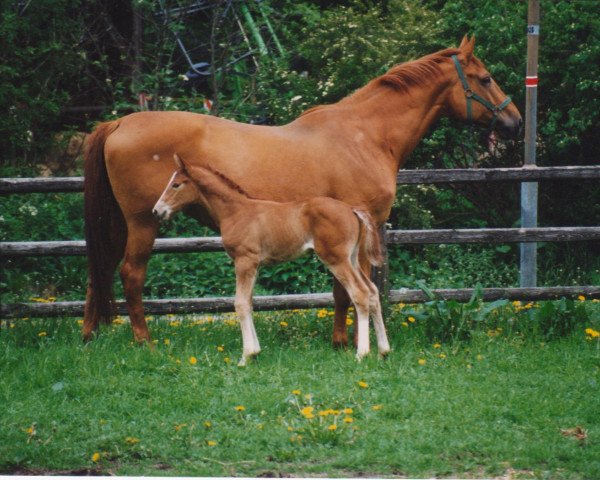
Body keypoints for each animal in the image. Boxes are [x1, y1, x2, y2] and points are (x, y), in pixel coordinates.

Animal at [152, 156, 392, 366]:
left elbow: (239, 303)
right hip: (352, 258)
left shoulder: (244, 260)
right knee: (372, 292)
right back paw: (383, 351)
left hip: (336, 259)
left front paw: (245, 357)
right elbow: (249, 302)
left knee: (360, 293)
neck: (236, 211)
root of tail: (351, 209)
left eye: (176, 184)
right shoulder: (255, 265)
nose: (157, 211)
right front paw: (256, 352)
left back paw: (362, 353)